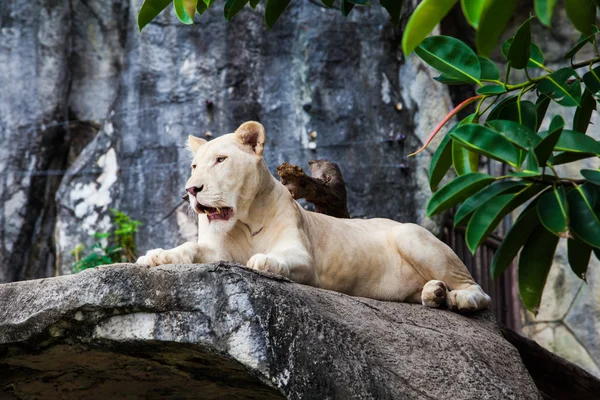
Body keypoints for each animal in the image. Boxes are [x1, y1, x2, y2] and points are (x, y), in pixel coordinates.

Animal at [138, 120, 490, 310]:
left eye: (221, 160)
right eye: (194, 165)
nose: (192, 189)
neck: (242, 220)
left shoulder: (304, 257)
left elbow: (280, 257)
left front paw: (265, 260)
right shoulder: (216, 250)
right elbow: (189, 249)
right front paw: (157, 256)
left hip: (411, 235)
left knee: (479, 290)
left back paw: (460, 298)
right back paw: (435, 293)